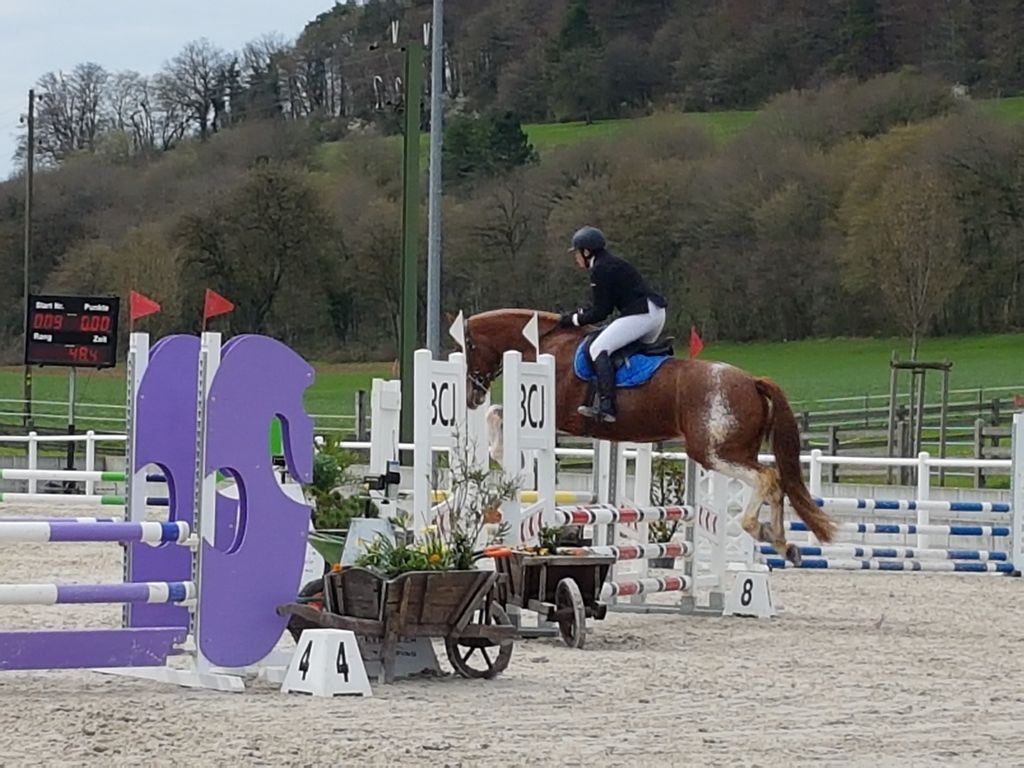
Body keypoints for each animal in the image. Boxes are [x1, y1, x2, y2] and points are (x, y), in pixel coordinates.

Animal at [461, 308, 837, 564]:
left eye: (469, 349)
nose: (472, 396)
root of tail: (753, 381)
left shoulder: (552, 412)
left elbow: (498, 414)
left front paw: (503, 455)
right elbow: (498, 415)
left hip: (715, 453)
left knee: (768, 478)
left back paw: (759, 529)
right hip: (735, 451)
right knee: (777, 484)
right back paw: (783, 544)